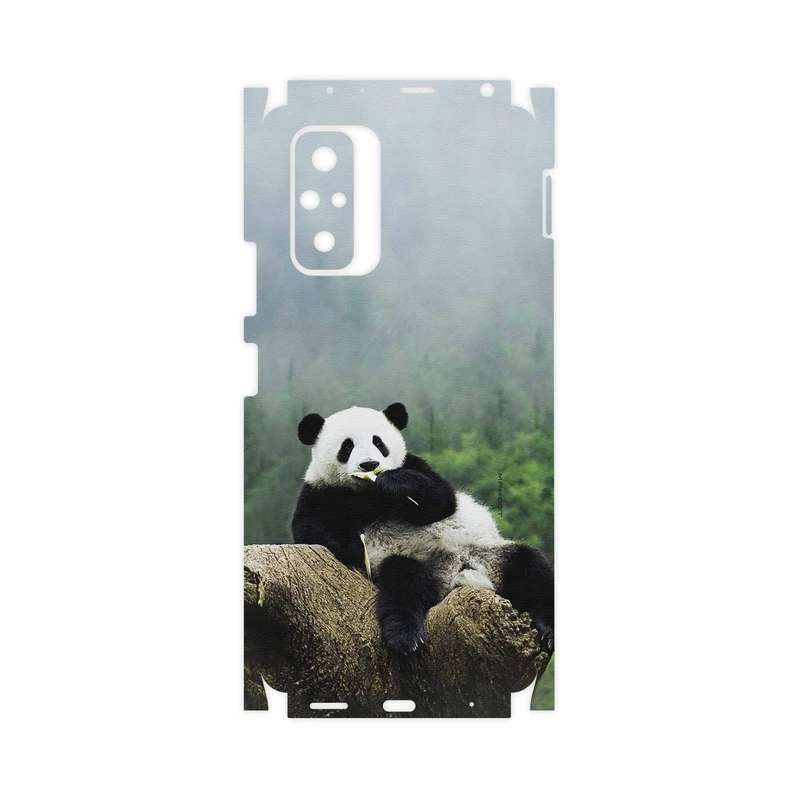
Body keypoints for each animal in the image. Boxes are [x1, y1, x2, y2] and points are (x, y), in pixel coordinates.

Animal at [292, 403, 554, 656]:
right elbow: (309, 527)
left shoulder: (415, 465)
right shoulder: (321, 491)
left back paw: (548, 629)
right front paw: (356, 547)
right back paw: (406, 637)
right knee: (404, 588)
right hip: (410, 561)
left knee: (531, 568)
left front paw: (395, 483)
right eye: (347, 446)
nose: (369, 464)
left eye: (379, 442)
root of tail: (455, 575)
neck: (368, 492)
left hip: (488, 553)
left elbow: (442, 500)